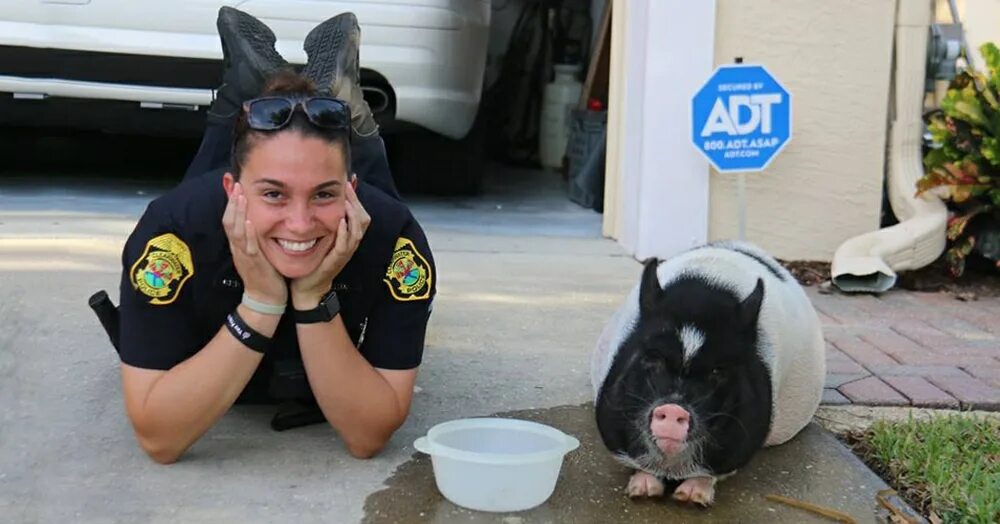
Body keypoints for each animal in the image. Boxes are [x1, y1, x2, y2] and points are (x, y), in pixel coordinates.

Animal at [588, 241, 824, 504]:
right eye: (653, 357)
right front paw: (642, 491)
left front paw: (691, 497)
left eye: (717, 370)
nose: (674, 408)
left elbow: (713, 472)